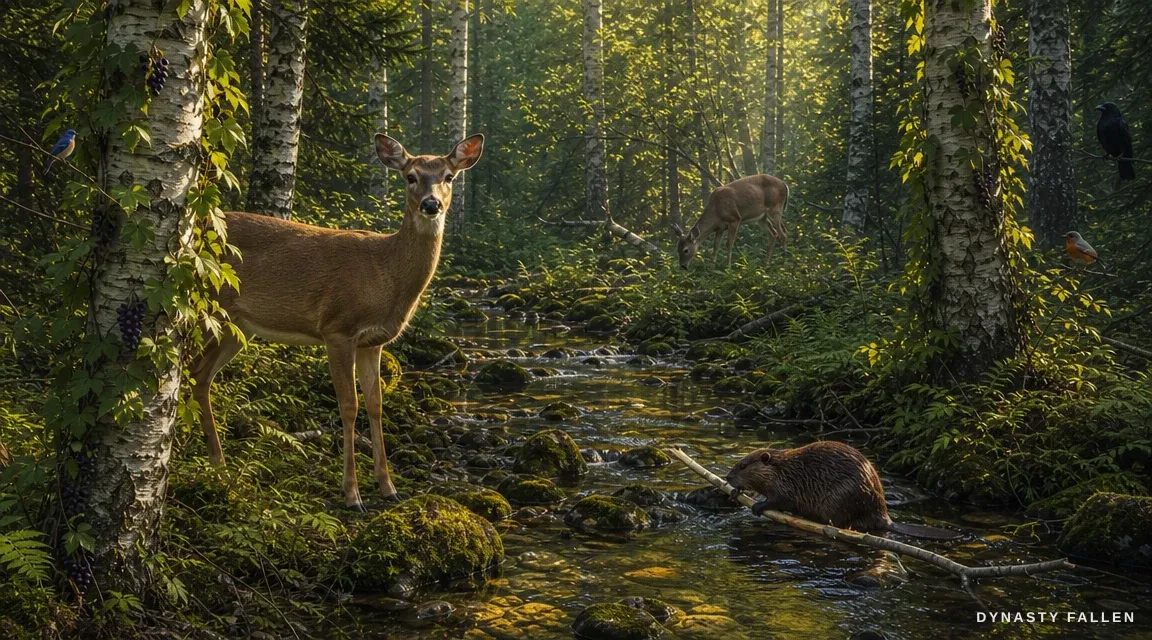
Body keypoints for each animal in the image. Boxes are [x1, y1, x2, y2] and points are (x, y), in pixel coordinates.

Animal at [188, 133, 484, 511]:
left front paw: (388, 487)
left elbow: (376, 405)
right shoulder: (338, 328)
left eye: (449, 176)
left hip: (235, 327)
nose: (431, 204)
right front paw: (352, 495)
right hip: (208, 309)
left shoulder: (373, 342)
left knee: (201, 375)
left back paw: (218, 464)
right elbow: (349, 406)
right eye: (410, 176)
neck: (386, 275)